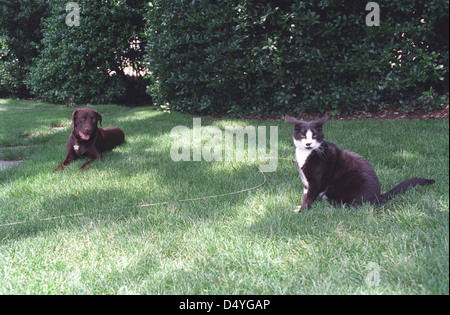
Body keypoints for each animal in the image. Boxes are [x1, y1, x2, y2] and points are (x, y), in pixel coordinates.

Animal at [286, 117, 434, 214]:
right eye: (303, 135)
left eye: (315, 136)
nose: (308, 144)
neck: (306, 153)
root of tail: (379, 195)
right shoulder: (306, 183)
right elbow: (306, 194)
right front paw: (301, 207)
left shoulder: (316, 181)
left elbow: (309, 197)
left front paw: (302, 210)